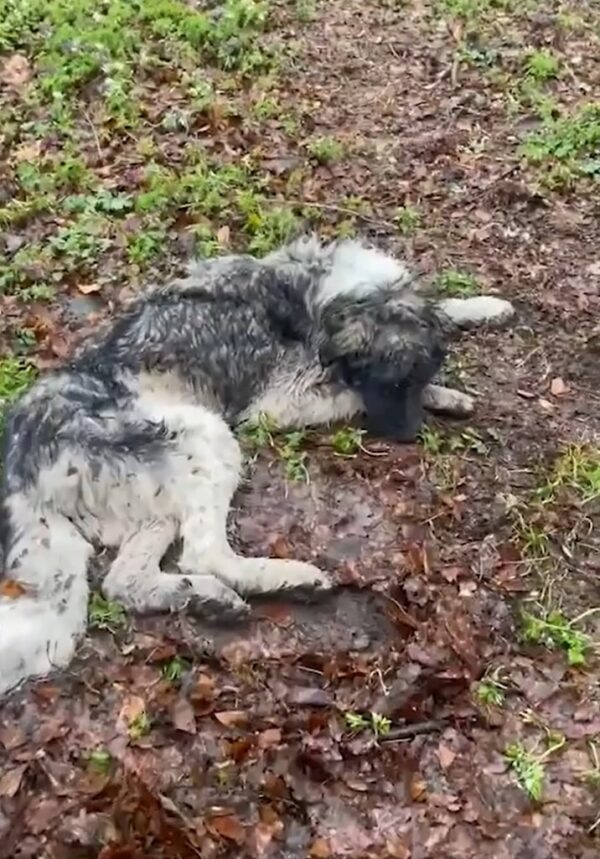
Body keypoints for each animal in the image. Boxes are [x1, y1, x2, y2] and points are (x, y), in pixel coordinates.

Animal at [0, 237, 516, 700]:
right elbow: (347, 394)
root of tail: (21, 467)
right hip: (204, 435)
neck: (320, 293)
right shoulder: (281, 403)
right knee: (203, 552)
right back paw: (289, 578)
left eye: (416, 375)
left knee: (124, 581)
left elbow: (442, 307)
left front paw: (483, 309)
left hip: (157, 496)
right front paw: (446, 394)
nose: (409, 437)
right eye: (390, 383)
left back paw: (203, 597)